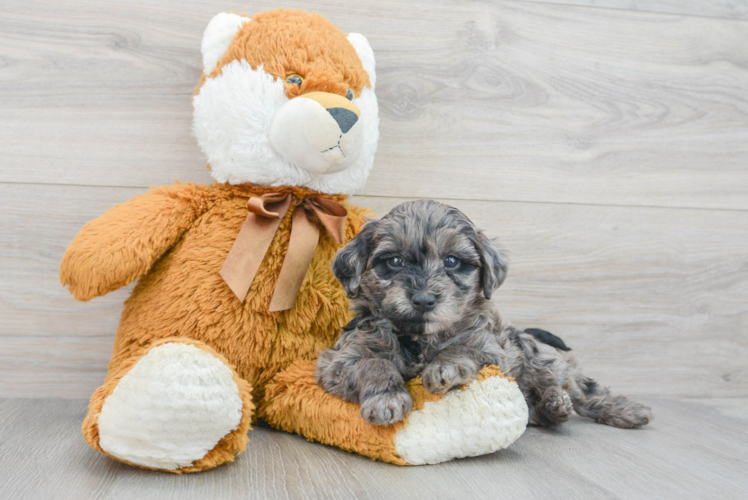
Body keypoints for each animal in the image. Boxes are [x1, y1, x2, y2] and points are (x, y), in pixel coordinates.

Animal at [312, 199, 652, 430]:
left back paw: (625, 410)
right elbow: (374, 363)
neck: (419, 337)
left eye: (451, 261)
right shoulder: (338, 361)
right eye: (394, 261)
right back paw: (554, 406)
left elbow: (461, 348)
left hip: (541, 359)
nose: (423, 299)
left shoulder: (492, 349)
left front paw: (444, 368)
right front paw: (387, 398)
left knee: (582, 388)